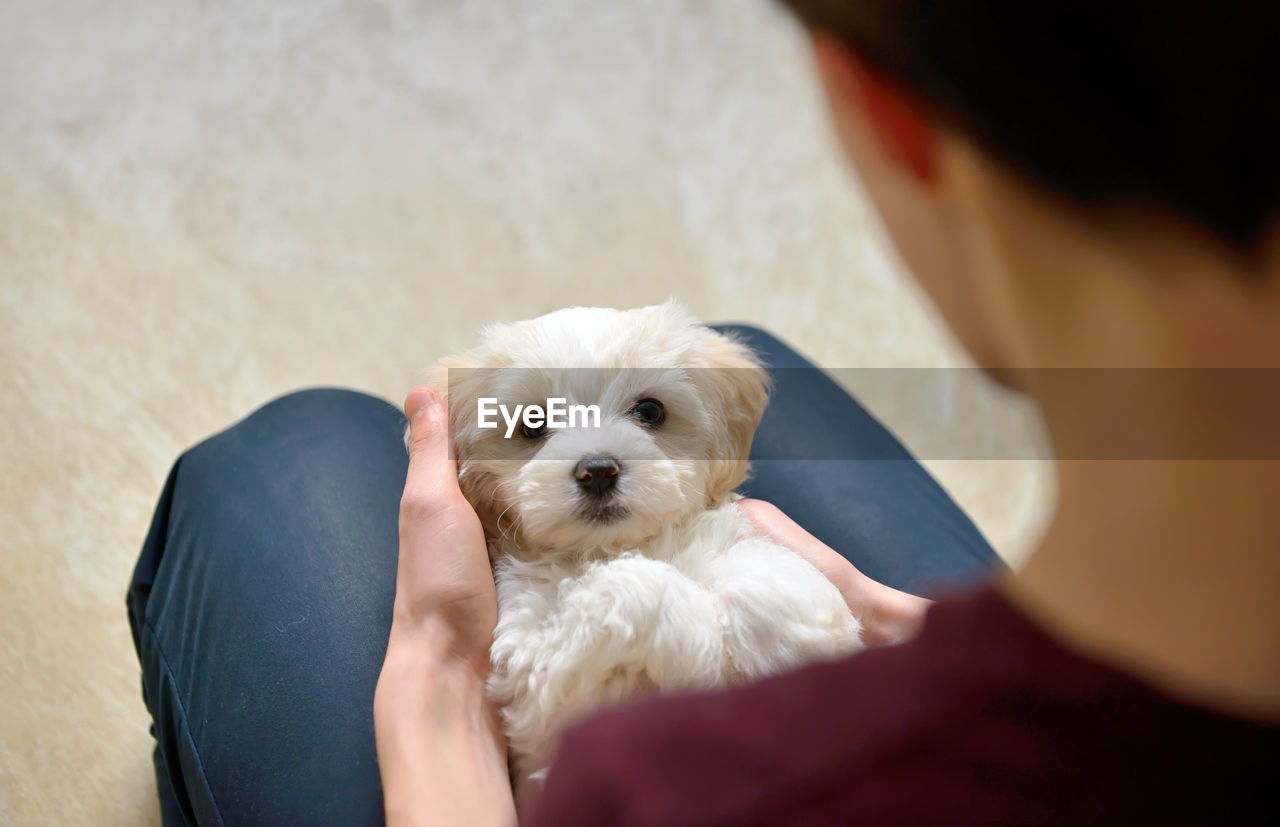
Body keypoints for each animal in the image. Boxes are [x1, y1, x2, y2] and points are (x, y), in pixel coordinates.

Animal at [427, 303, 860, 788]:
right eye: (533, 423)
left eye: (650, 411)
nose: (598, 470)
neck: (615, 545)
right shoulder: (535, 671)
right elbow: (636, 587)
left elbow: (774, 584)